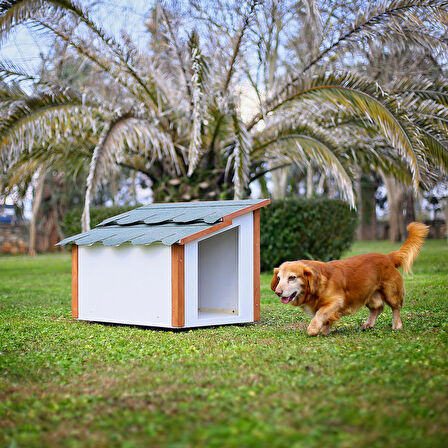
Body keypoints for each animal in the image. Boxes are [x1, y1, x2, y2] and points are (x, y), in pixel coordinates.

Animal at [272, 222, 428, 334]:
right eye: (279, 278)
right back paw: (368, 324)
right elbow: (326, 318)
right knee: (378, 308)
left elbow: (321, 313)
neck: (318, 284)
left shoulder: (337, 301)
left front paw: (313, 329)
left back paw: (396, 325)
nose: (278, 292)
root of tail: (388, 257)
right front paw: (325, 330)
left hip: (391, 292)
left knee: (396, 308)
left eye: (292, 277)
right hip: (368, 293)